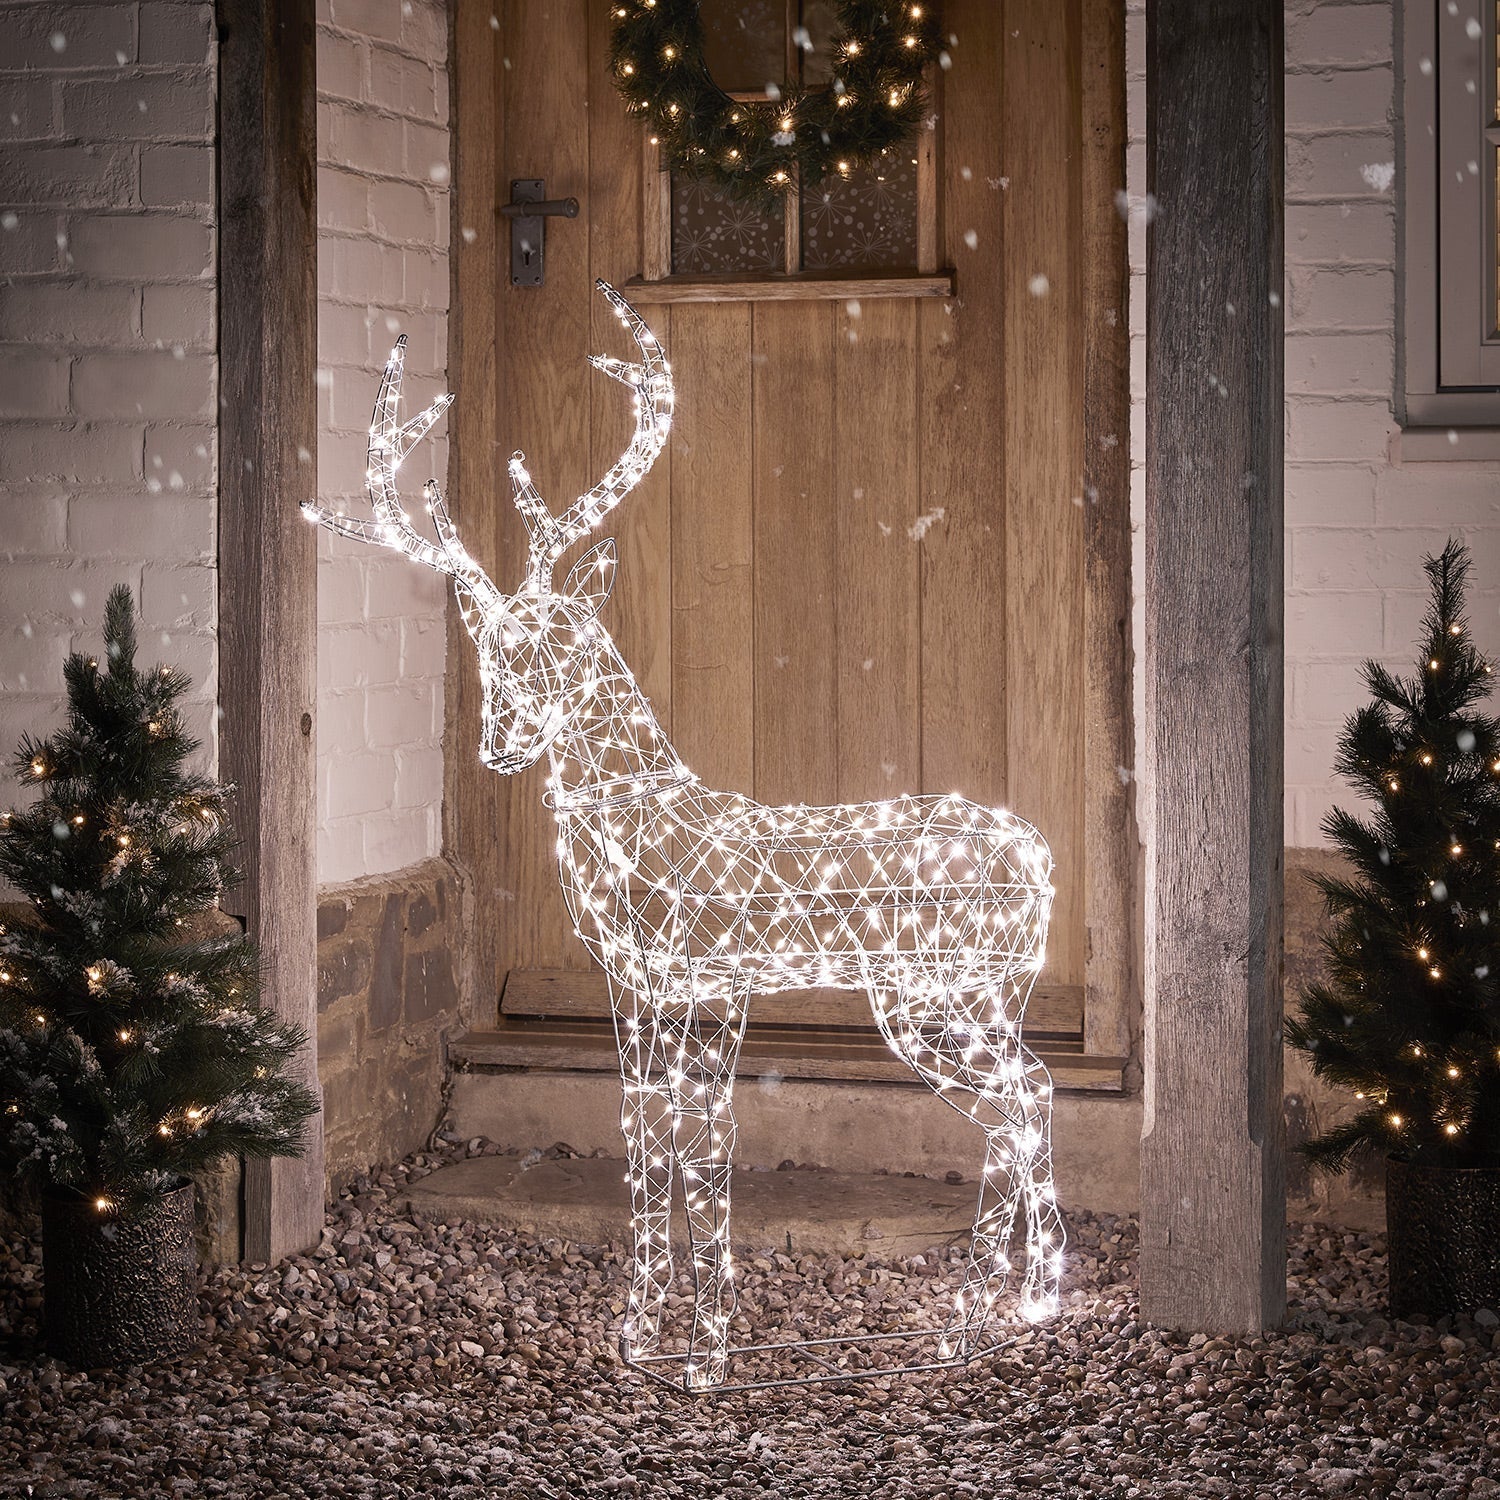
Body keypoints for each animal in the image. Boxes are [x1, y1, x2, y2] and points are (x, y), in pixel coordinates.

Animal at [305, 282, 1064, 1391]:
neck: (645, 826)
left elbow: (705, 1148)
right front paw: (639, 1330)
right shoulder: (634, 988)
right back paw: (1011, 1310)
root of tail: (1045, 860)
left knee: (1024, 1098)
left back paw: (997, 1314)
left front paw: (707, 1351)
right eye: (491, 652)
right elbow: (643, 1139)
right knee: (1027, 1098)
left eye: (566, 643)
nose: (499, 742)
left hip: (942, 989)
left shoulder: (709, 981)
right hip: (961, 995)